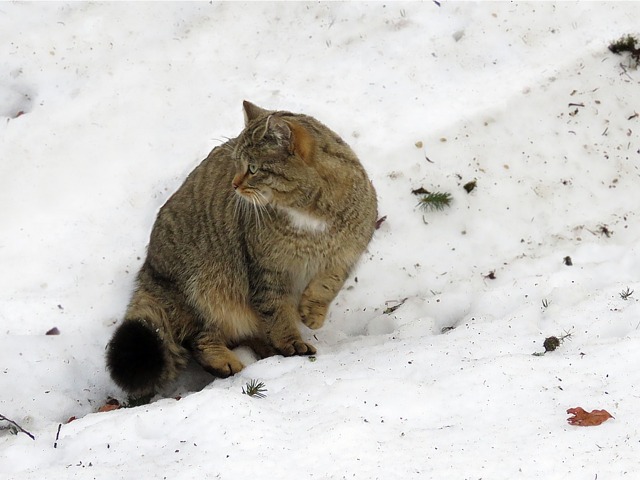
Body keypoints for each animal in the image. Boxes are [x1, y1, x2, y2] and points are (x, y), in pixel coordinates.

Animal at [104, 101, 376, 398]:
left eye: (253, 168)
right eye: (237, 163)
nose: (234, 184)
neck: (308, 214)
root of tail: (149, 270)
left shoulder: (347, 253)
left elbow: (328, 285)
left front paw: (312, 312)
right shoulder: (266, 269)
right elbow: (276, 311)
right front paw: (290, 342)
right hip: (202, 287)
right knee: (198, 338)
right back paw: (225, 362)